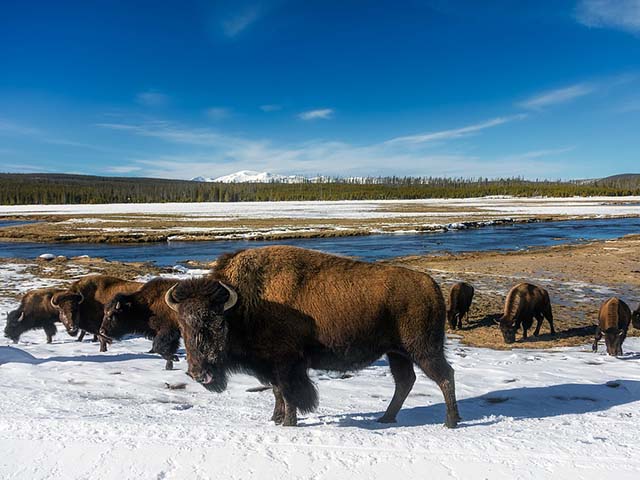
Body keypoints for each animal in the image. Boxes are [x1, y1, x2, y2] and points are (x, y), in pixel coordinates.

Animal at [162, 248, 458, 428]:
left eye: (218, 324)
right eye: (183, 326)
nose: (198, 373)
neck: (244, 304)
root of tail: (431, 286)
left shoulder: (287, 364)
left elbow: (289, 392)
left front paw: (288, 422)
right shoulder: (272, 366)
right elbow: (277, 392)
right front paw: (275, 419)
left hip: (423, 349)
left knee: (444, 376)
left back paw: (451, 421)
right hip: (397, 353)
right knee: (405, 381)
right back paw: (386, 418)